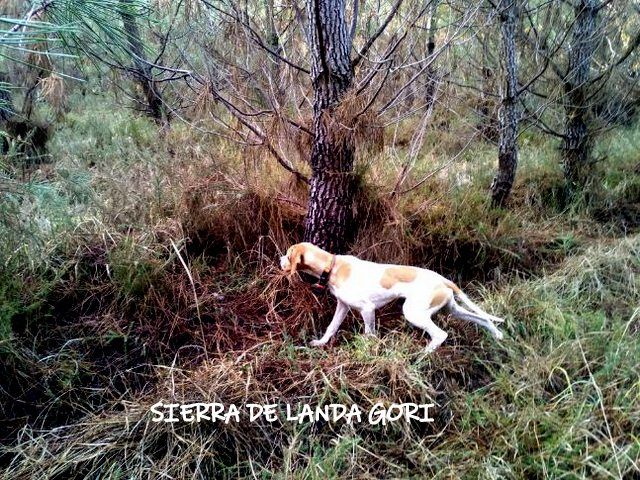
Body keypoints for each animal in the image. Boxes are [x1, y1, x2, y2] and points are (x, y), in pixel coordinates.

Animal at [280, 244, 504, 352]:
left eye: (288, 254)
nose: (280, 259)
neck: (333, 266)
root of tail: (442, 279)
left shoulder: (367, 310)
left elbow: (369, 334)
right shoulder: (342, 307)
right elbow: (331, 327)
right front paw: (320, 343)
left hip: (413, 313)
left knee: (440, 335)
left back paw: (421, 356)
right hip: (452, 309)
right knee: (482, 319)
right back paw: (497, 335)